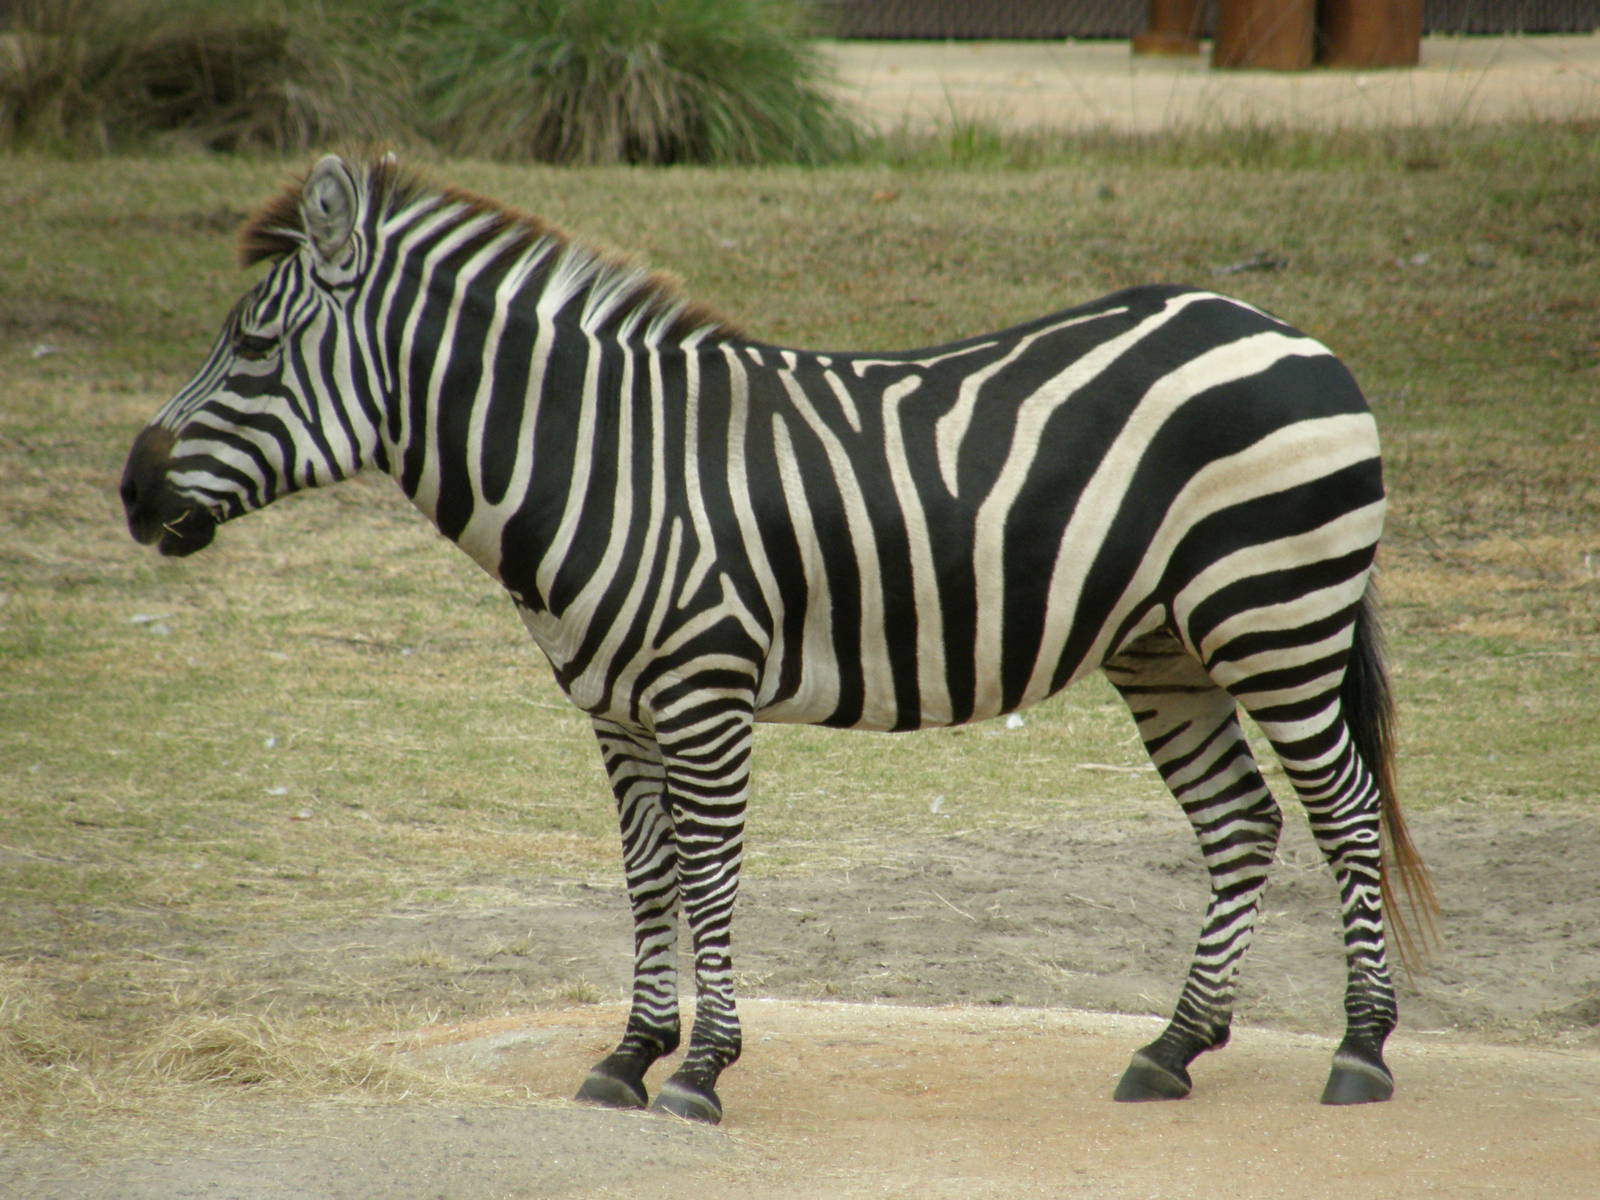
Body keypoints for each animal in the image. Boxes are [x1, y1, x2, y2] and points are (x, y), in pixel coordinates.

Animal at [122, 155, 1436, 1125]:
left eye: (252, 347)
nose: (131, 494)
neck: (602, 462)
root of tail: (1283, 329)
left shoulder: (702, 693)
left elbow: (709, 876)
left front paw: (702, 1071)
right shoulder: (617, 710)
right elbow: (649, 877)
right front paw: (630, 1054)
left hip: (1276, 615)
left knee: (1342, 812)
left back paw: (1361, 1050)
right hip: (1163, 645)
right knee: (1243, 822)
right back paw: (1173, 1047)